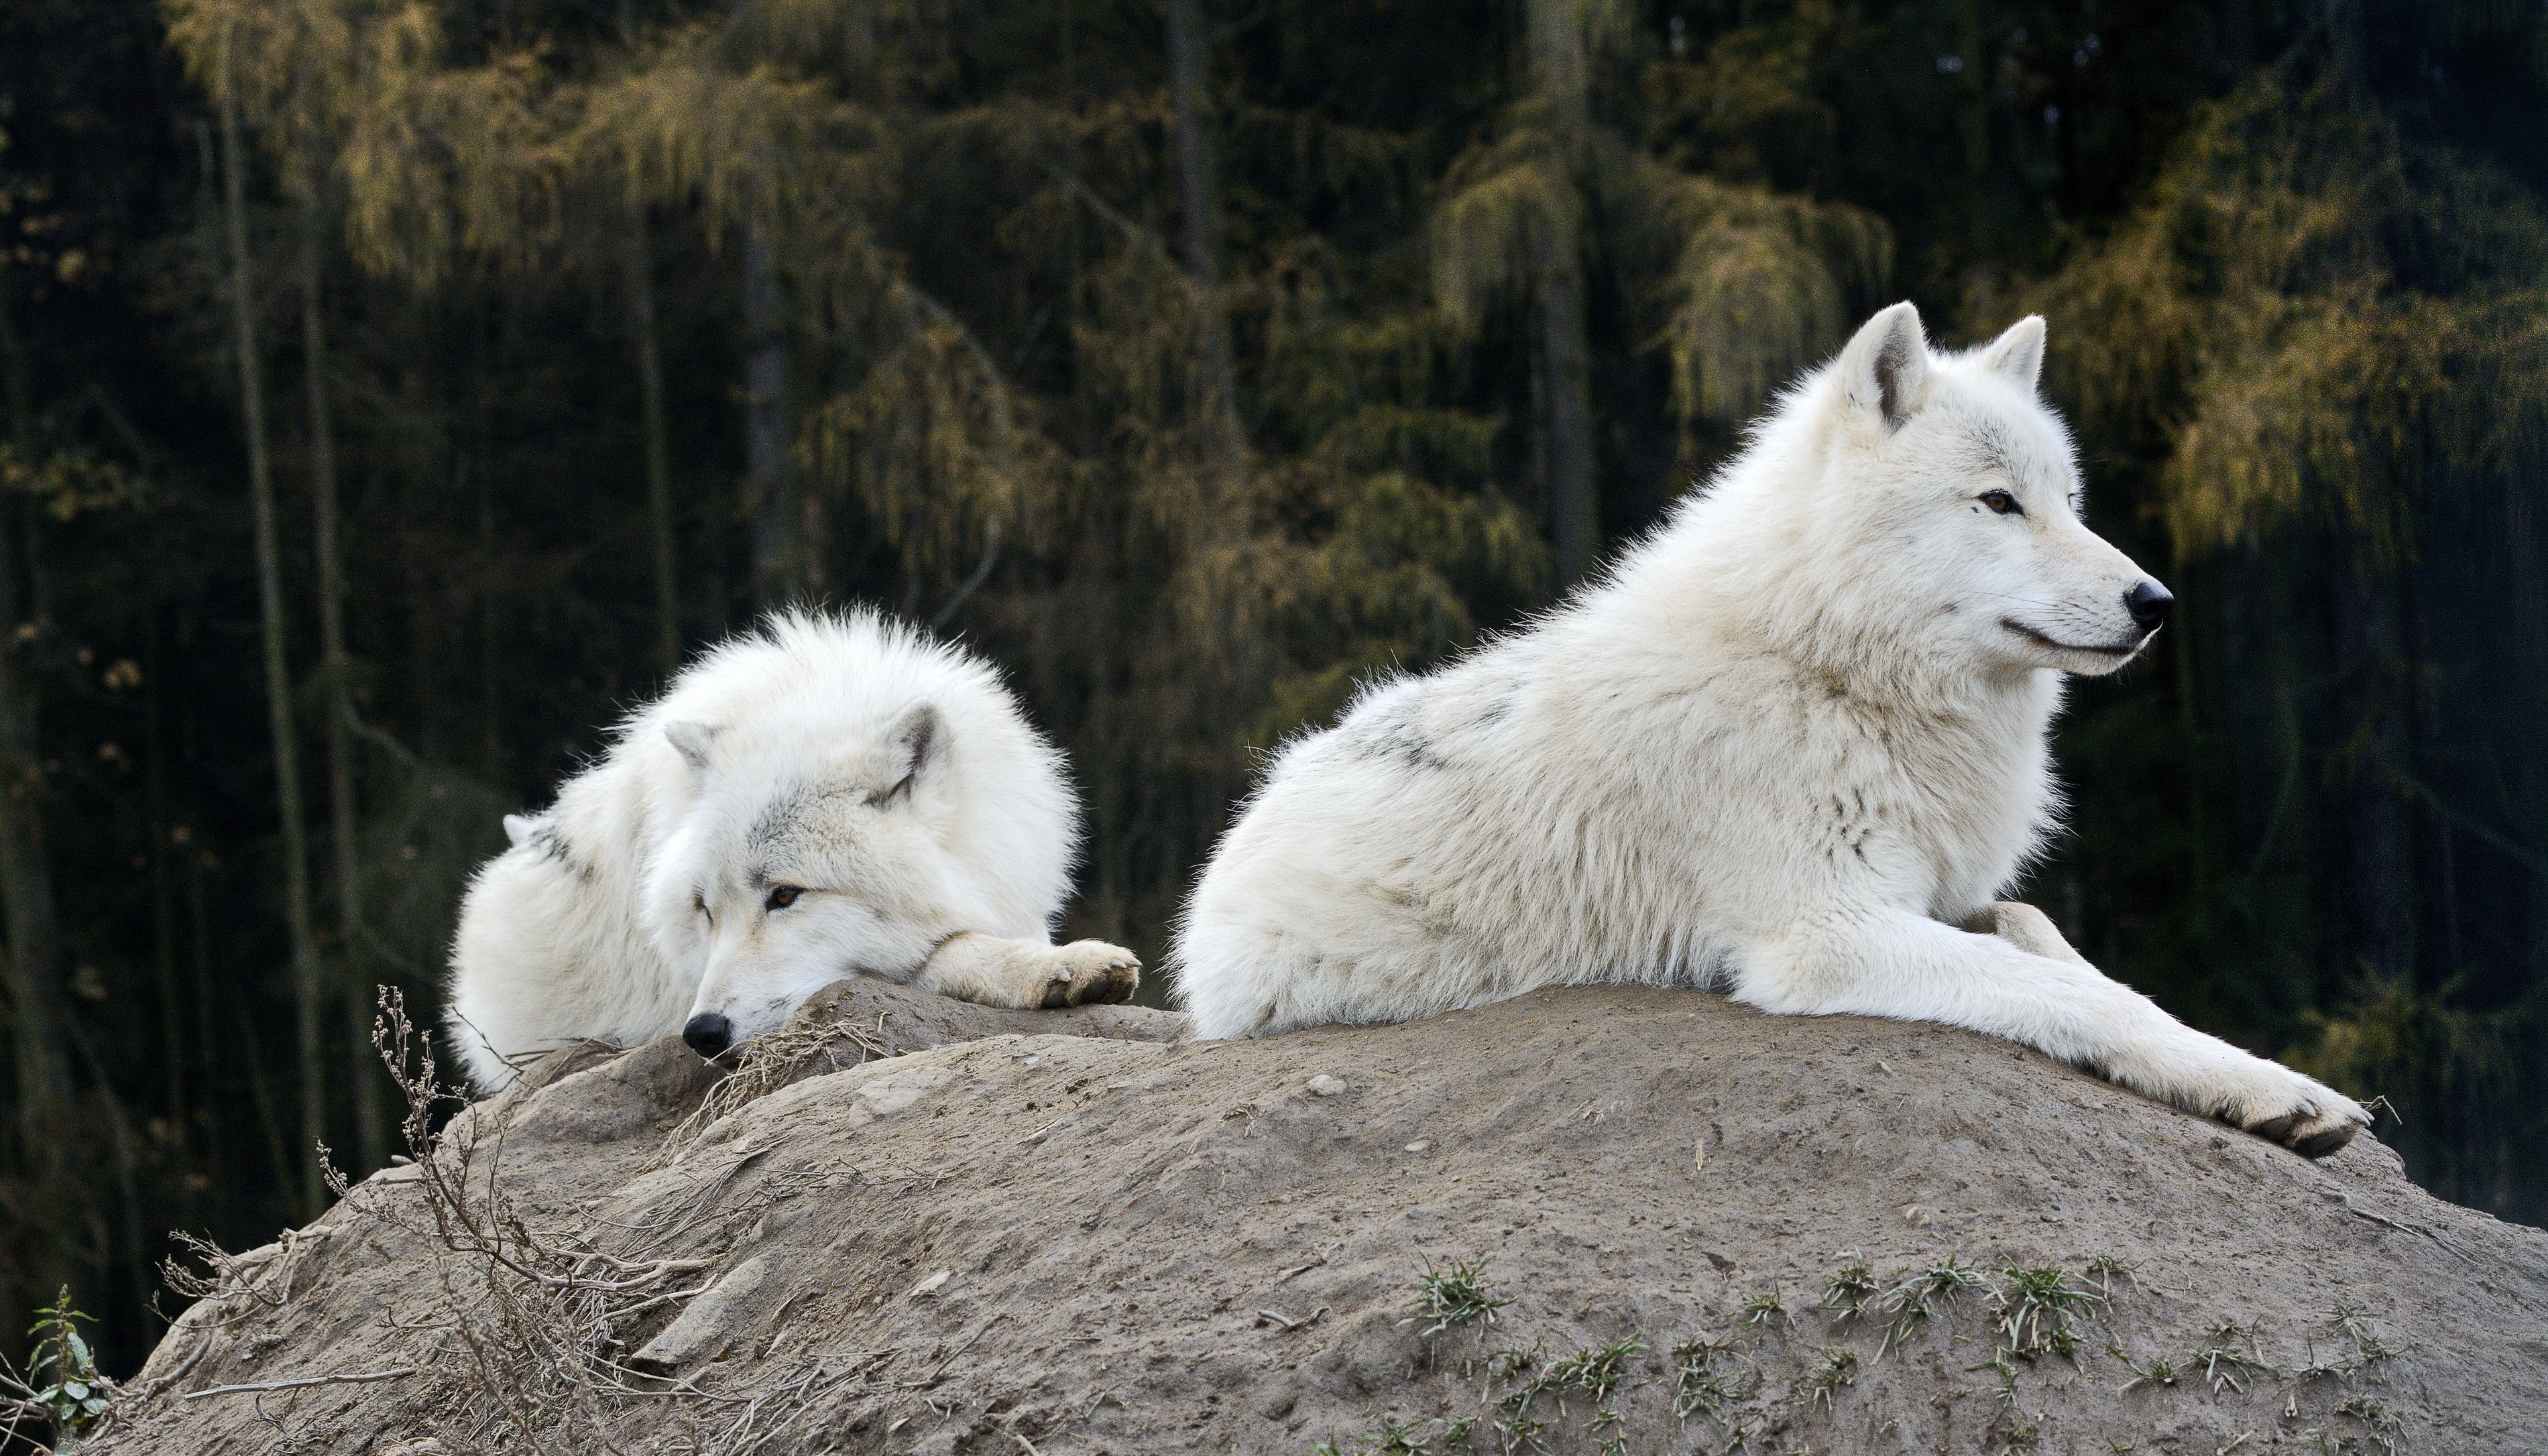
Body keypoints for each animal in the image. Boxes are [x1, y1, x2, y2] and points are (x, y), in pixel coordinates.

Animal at [1173, 302, 2367, 1157]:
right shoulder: (1826, 935)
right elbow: (2075, 992)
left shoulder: (1943, 892)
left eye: (2070, 503)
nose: (2155, 603)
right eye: (1998, 502)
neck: (1828, 675)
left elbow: (2056, 944)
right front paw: (2272, 1087)